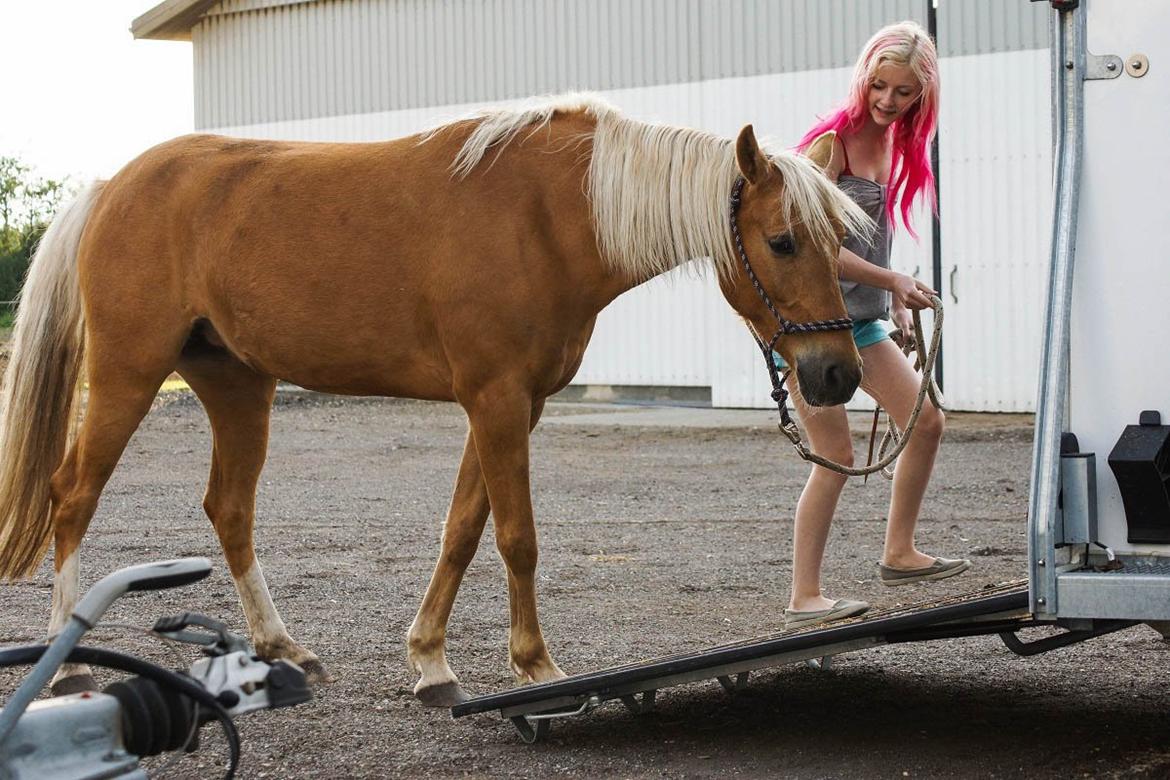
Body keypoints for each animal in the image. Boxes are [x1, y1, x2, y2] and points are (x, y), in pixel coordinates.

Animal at [0, 94, 865, 706]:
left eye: (840, 242)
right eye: (782, 241)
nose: (837, 376)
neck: (548, 216)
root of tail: (111, 187)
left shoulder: (514, 404)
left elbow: (463, 529)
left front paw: (430, 662)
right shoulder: (497, 400)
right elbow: (516, 537)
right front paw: (535, 665)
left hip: (238, 385)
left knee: (230, 508)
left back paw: (285, 650)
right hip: (127, 374)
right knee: (72, 496)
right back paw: (69, 669)